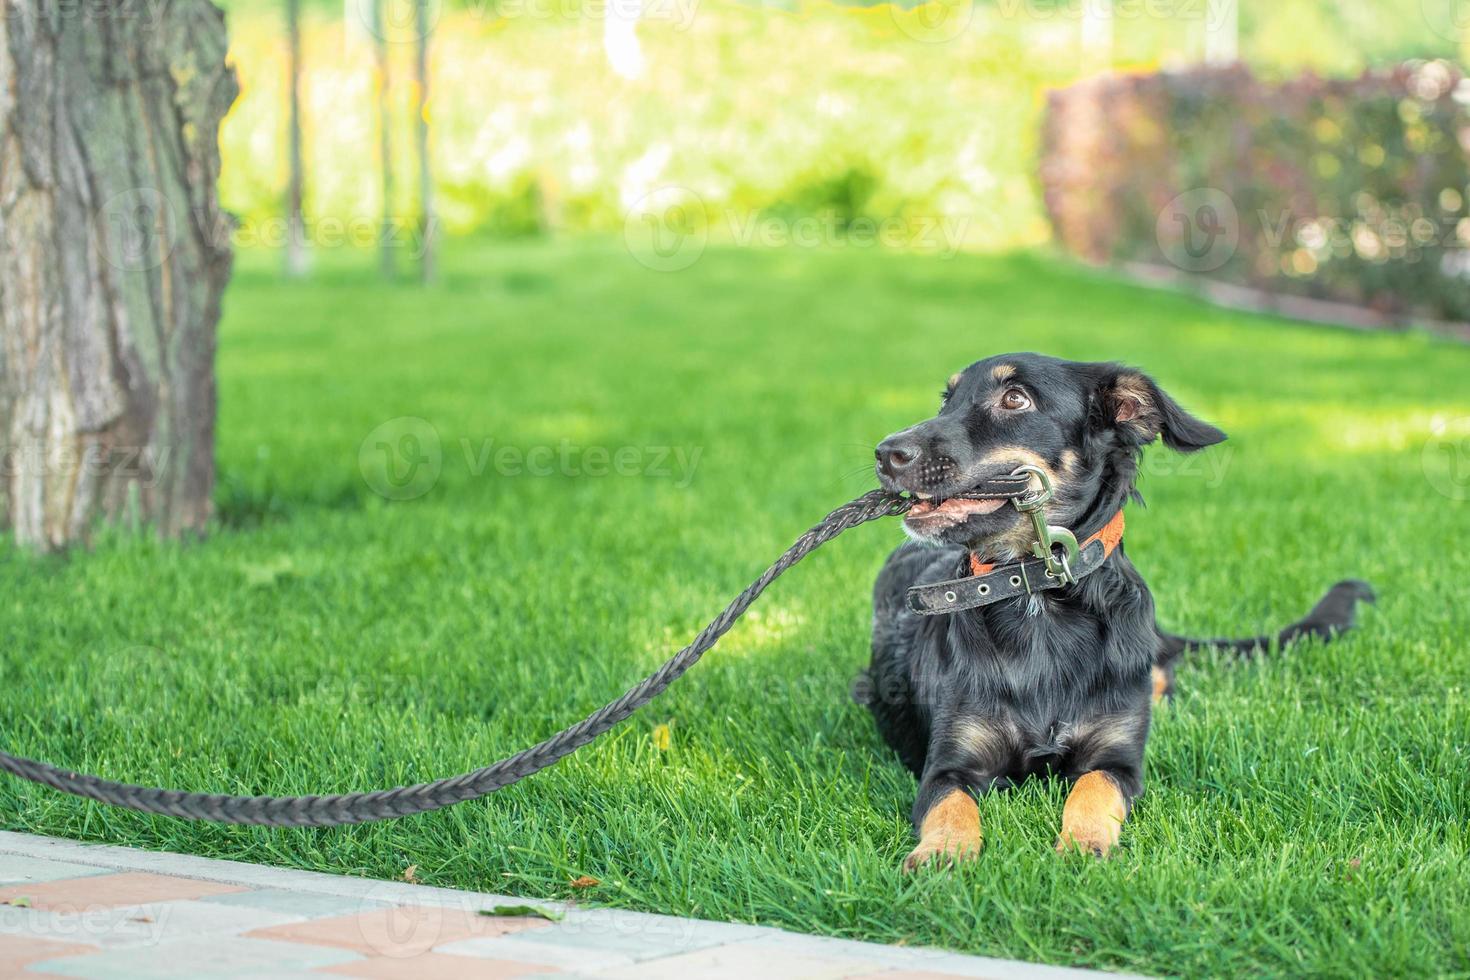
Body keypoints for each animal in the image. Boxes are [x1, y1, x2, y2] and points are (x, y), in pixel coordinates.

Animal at [864, 351, 1370, 863]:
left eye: (1015, 399)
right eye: (946, 400)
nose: (886, 454)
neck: (1038, 598)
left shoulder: (1118, 760)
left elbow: (1094, 788)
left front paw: (1084, 842)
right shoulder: (949, 764)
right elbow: (950, 804)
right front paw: (942, 852)